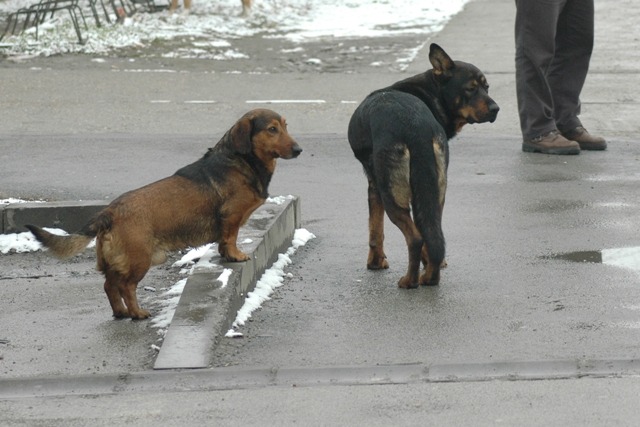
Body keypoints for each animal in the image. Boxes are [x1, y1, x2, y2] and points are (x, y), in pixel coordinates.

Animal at [26, 110, 302, 320]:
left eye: (285, 126)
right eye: (272, 129)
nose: (299, 149)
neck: (242, 160)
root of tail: (110, 211)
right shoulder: (231, 217)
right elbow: (230, 238)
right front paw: (235, 255)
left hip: (117, 262)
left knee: (109, 285)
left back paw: (121, 312)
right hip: (140, 259)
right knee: (126, 286)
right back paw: (137, 313)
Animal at [348, 43, 498, 290]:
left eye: (485, 87)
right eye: (472, 88)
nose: (496, 109)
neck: (431, 93)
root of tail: (415, 127)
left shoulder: (374, 186)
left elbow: (375, 231)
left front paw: (375, 262)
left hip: (393, 194)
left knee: (416, 238)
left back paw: (410, 281)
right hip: (436, 191)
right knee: (433, 235)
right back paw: (430, 277)